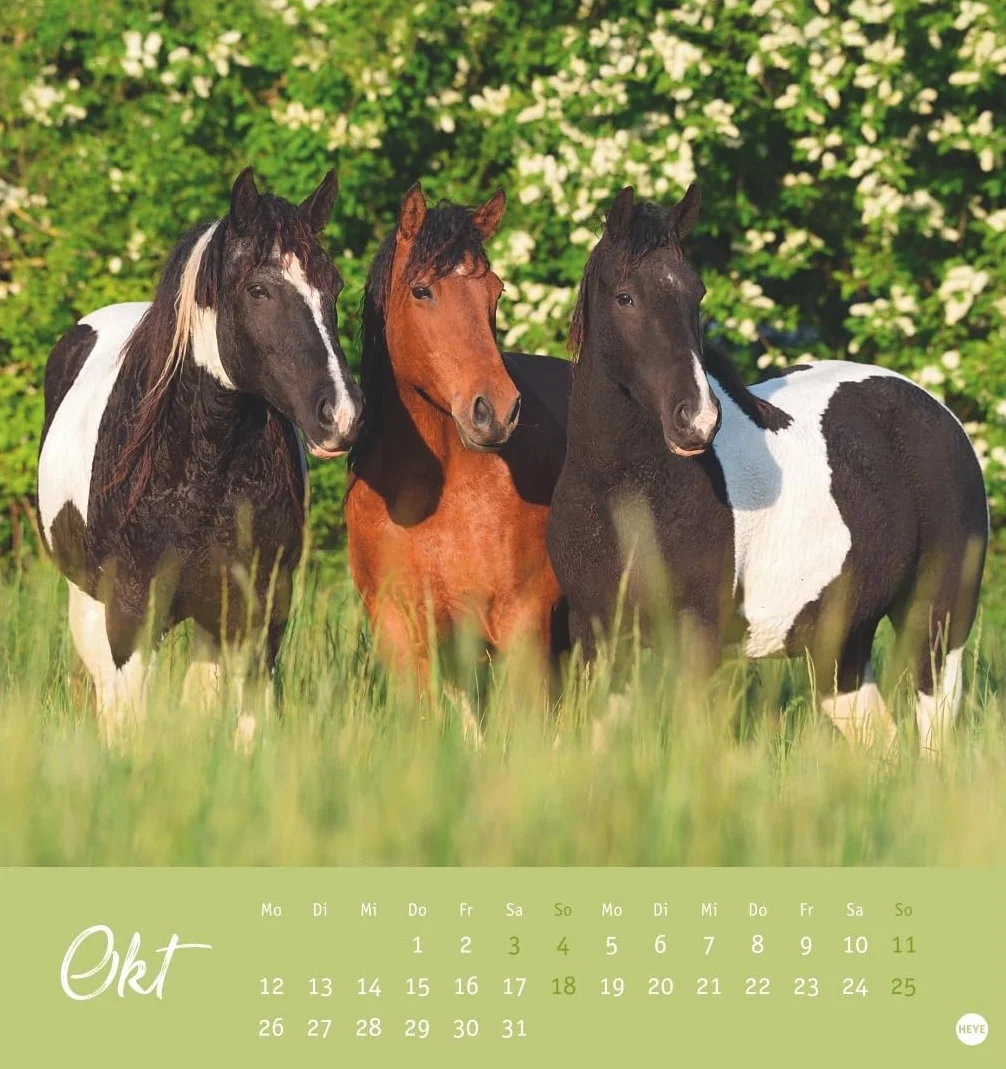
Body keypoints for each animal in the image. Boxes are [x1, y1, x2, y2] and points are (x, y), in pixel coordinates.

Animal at [37, 167, 364, 741]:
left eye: (335, 288)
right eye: (259, 290)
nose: (341, 414)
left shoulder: (259, 613)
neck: (199, 468)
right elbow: (129, 724)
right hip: (89, 604)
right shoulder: (130, 615)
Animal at [547, 184, 988, 756]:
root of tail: (939, 415)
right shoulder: (596, 633)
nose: (697, 419)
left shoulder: (697, 638)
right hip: (840, 644)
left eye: (697, 295)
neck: (625, 493)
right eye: (626, 297)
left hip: (937, 624)